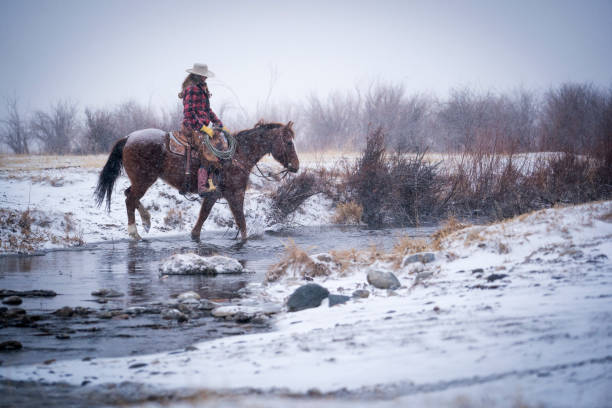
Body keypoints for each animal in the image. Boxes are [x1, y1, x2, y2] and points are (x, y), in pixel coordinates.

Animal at [92, 121, 298, 242]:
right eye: (289, 142)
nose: (296, 166)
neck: (237, 155)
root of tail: (128, 138)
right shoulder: (235, 194)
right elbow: (241, 222)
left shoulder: (214, 195)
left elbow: (202, 218)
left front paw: (194, 236)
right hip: (144, 180)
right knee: (130, 199)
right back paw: (135, 232)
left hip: (140, 180)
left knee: (129, 195)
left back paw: (147, 221)